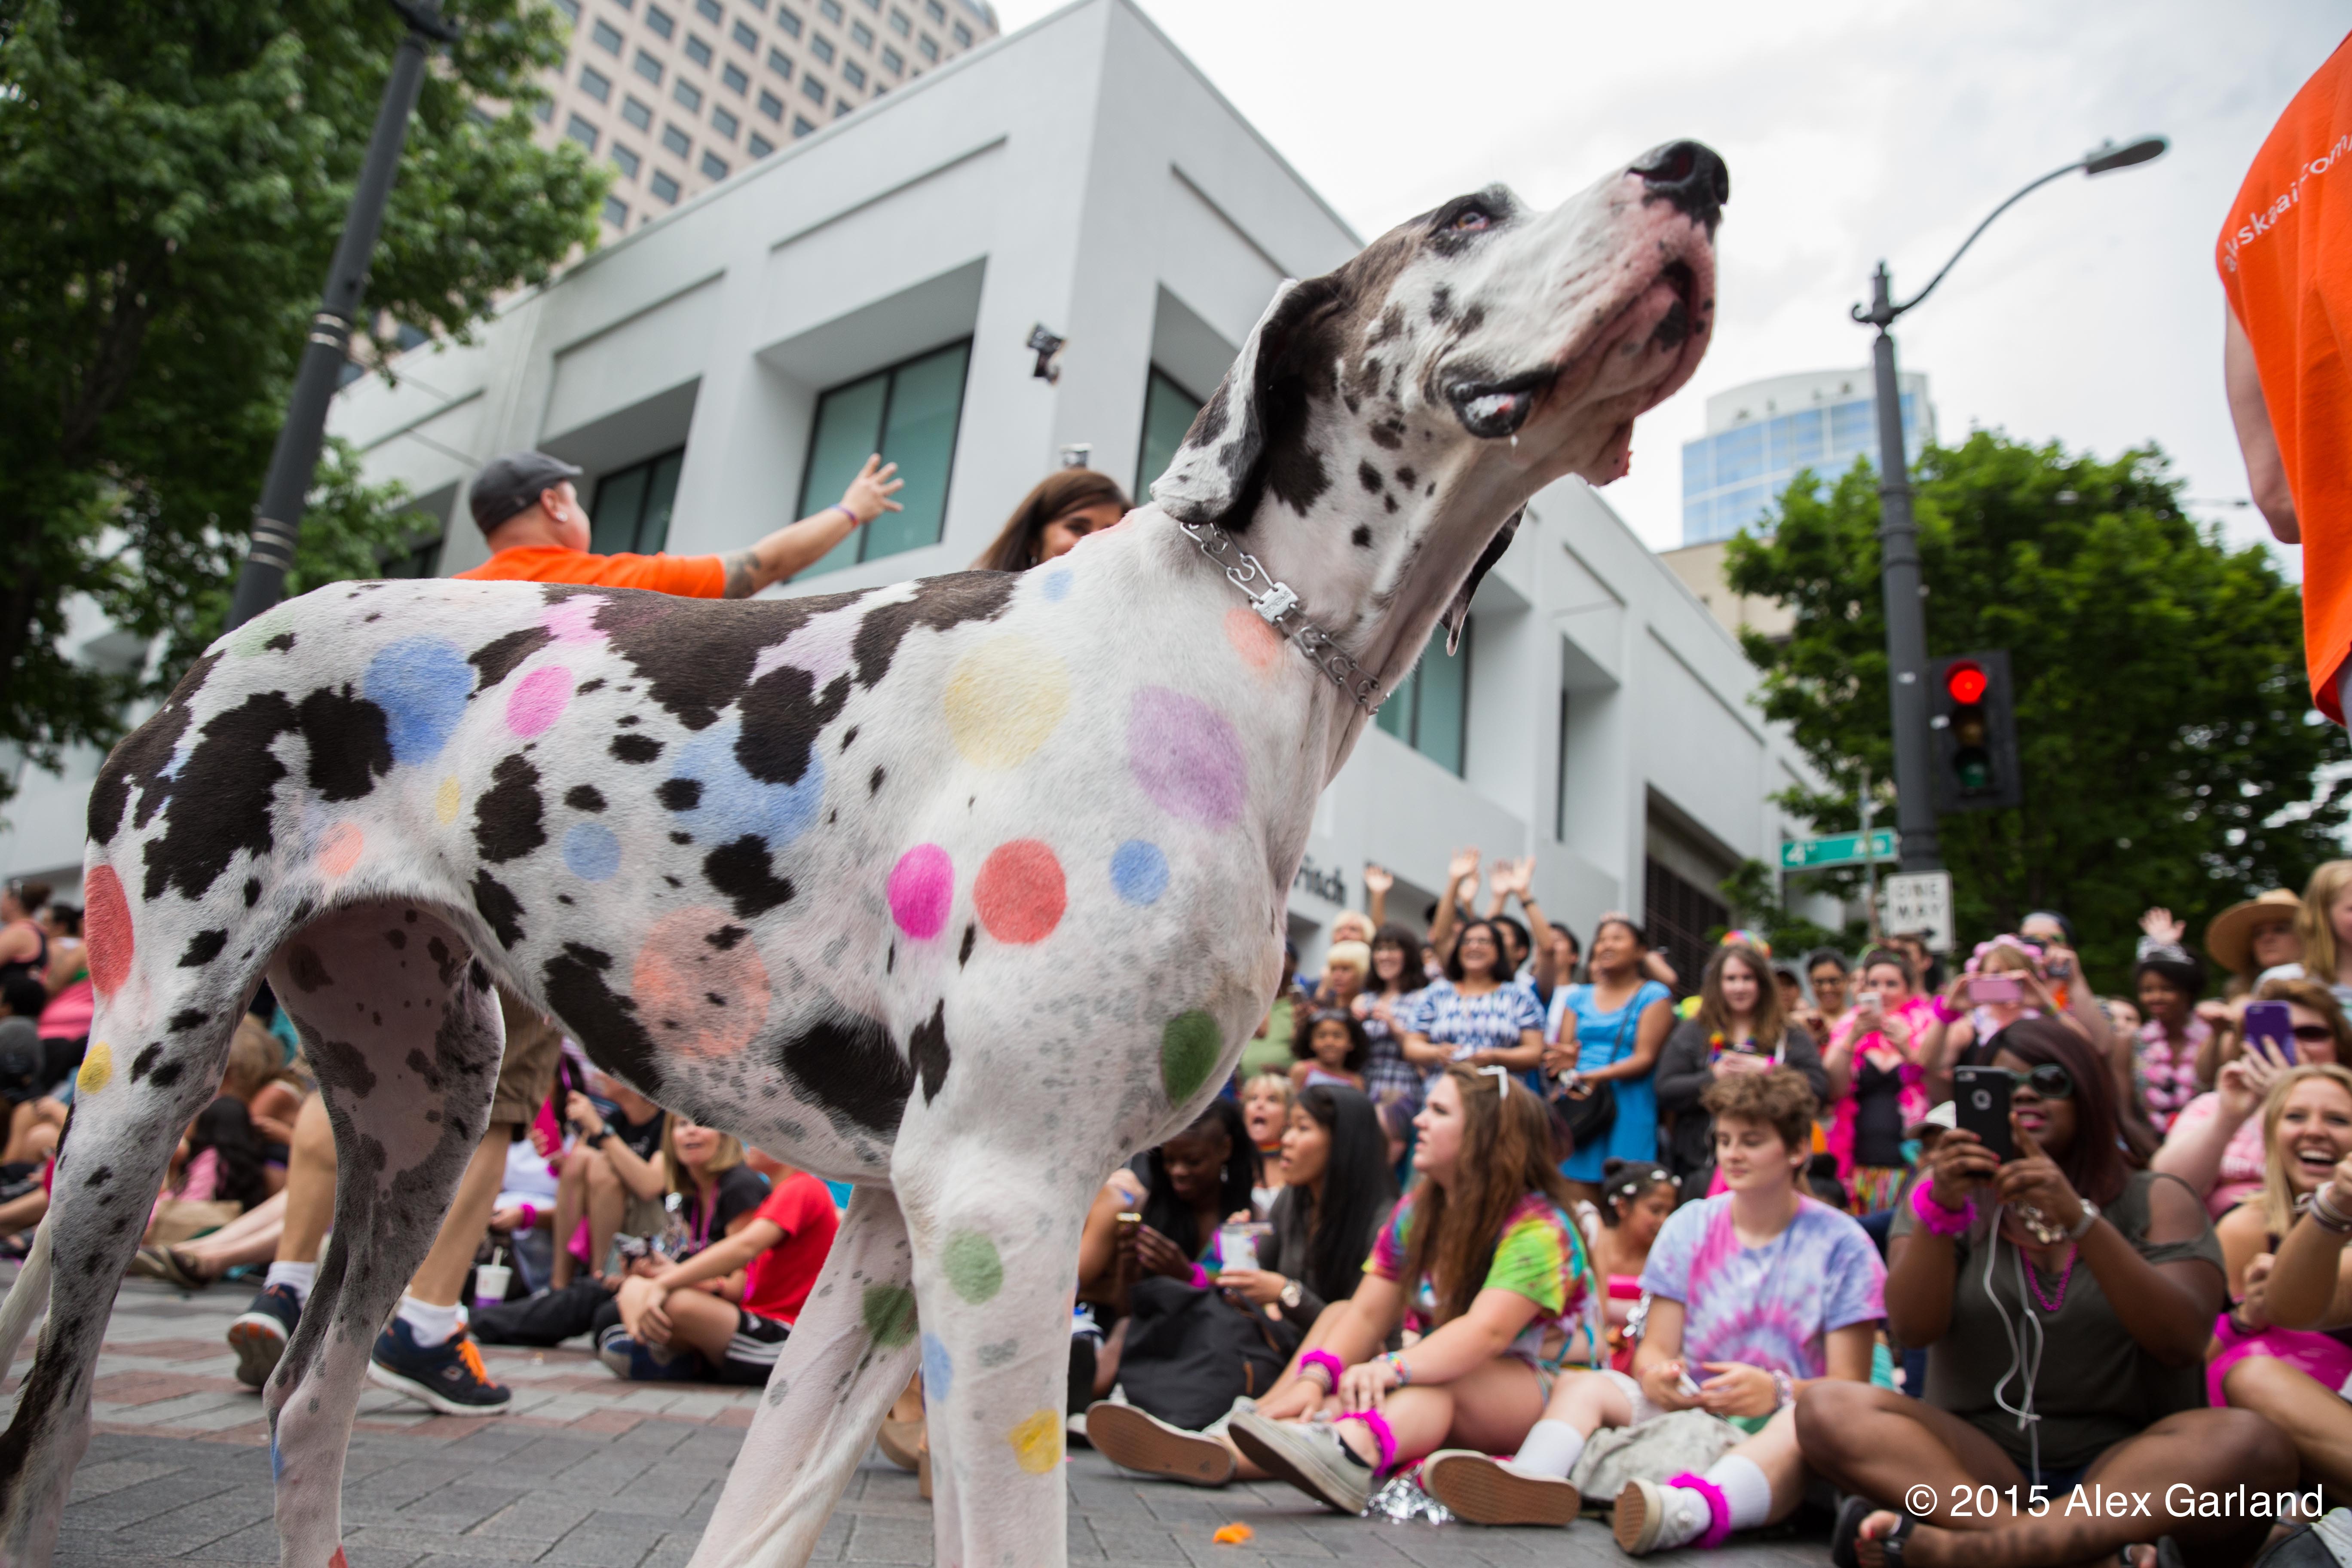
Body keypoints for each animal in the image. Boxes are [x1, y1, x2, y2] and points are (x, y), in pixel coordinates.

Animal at [0, 139, 1723, 1568]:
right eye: (1465, 217)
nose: (1698, 169)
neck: (1239, 637)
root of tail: (223, 646)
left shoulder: (901, 1228)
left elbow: (759, 1520)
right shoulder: (998, 1205)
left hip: (423, 1103)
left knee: (306, 1402)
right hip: (137, 1092)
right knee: (50, 1421)